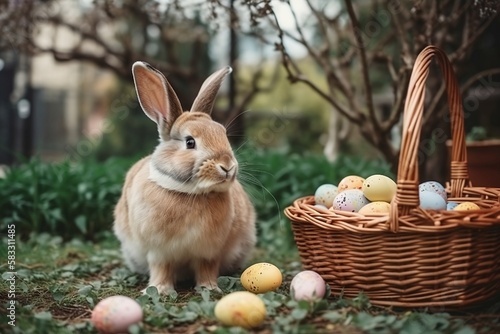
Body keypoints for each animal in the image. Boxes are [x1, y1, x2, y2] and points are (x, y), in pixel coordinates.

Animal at [112, 60, 256, 294]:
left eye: (223, 134)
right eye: (190, 142)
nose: (227, 166)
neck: (191, 193)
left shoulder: (209, 251)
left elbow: (207, 268)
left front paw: (209, 289)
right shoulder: (159, 252)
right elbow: (161, 268)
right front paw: (160, 290)